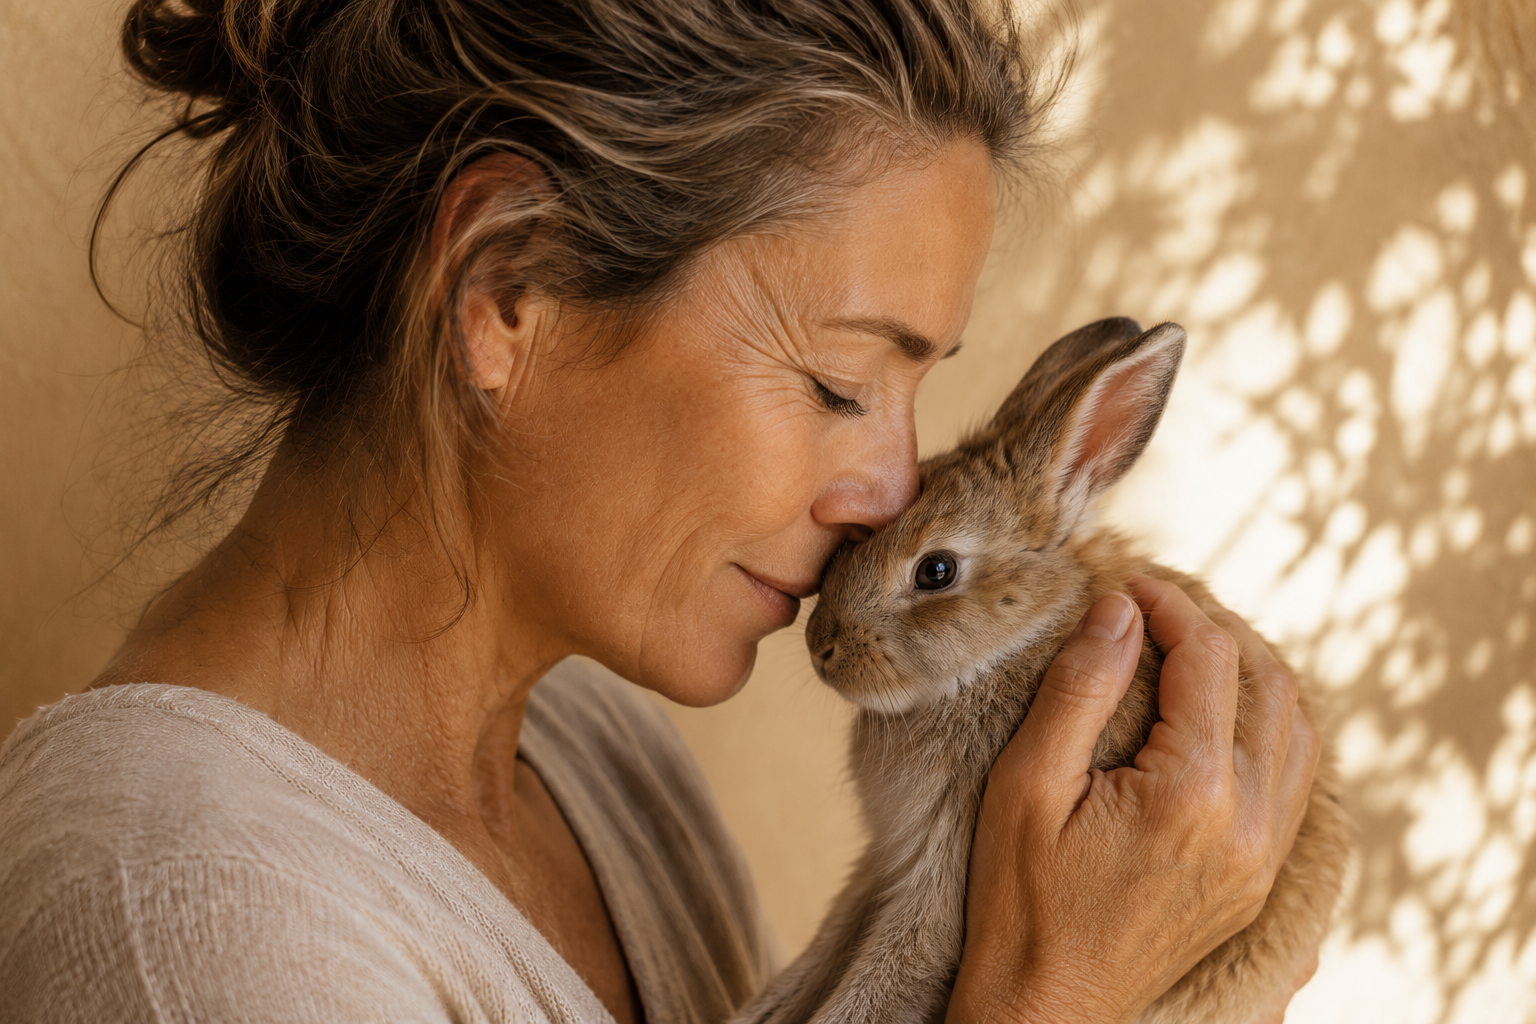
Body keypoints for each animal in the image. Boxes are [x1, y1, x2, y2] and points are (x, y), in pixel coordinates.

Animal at [734, 318, 1350, 1024]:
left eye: (936, 571)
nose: (822, 647)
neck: (1014, 646)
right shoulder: (883, 863)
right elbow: (824, 954)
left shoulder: (940, 881)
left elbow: (883, 981)